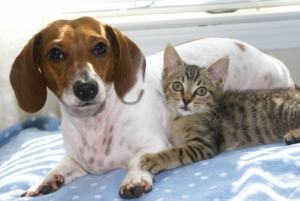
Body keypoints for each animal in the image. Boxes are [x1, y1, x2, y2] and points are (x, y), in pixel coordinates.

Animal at [139, 44, 300, 174]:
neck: (183, 119)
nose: (186, 100)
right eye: (177, 86)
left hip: (285, 108)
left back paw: (293, 134)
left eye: (201, 91)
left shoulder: (204, 144)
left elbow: (177, 152)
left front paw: (154, 158)